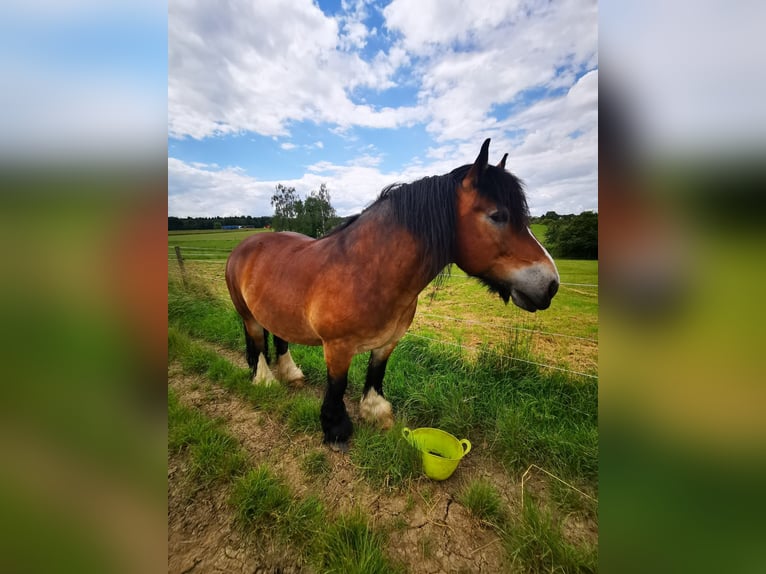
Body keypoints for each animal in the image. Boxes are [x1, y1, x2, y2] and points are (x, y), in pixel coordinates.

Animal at [225, 138, 560, 450]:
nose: (551, 284)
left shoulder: (388, 342)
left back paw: (291, 374)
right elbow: (337, 386)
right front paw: (336, 431)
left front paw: (376, 414)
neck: (366, 270)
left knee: (279, 337)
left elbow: (376, 375)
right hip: (247, 316)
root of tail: (244, 246)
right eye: (498, 215)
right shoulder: (337, 348)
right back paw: (265, 381)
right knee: (257, 345)